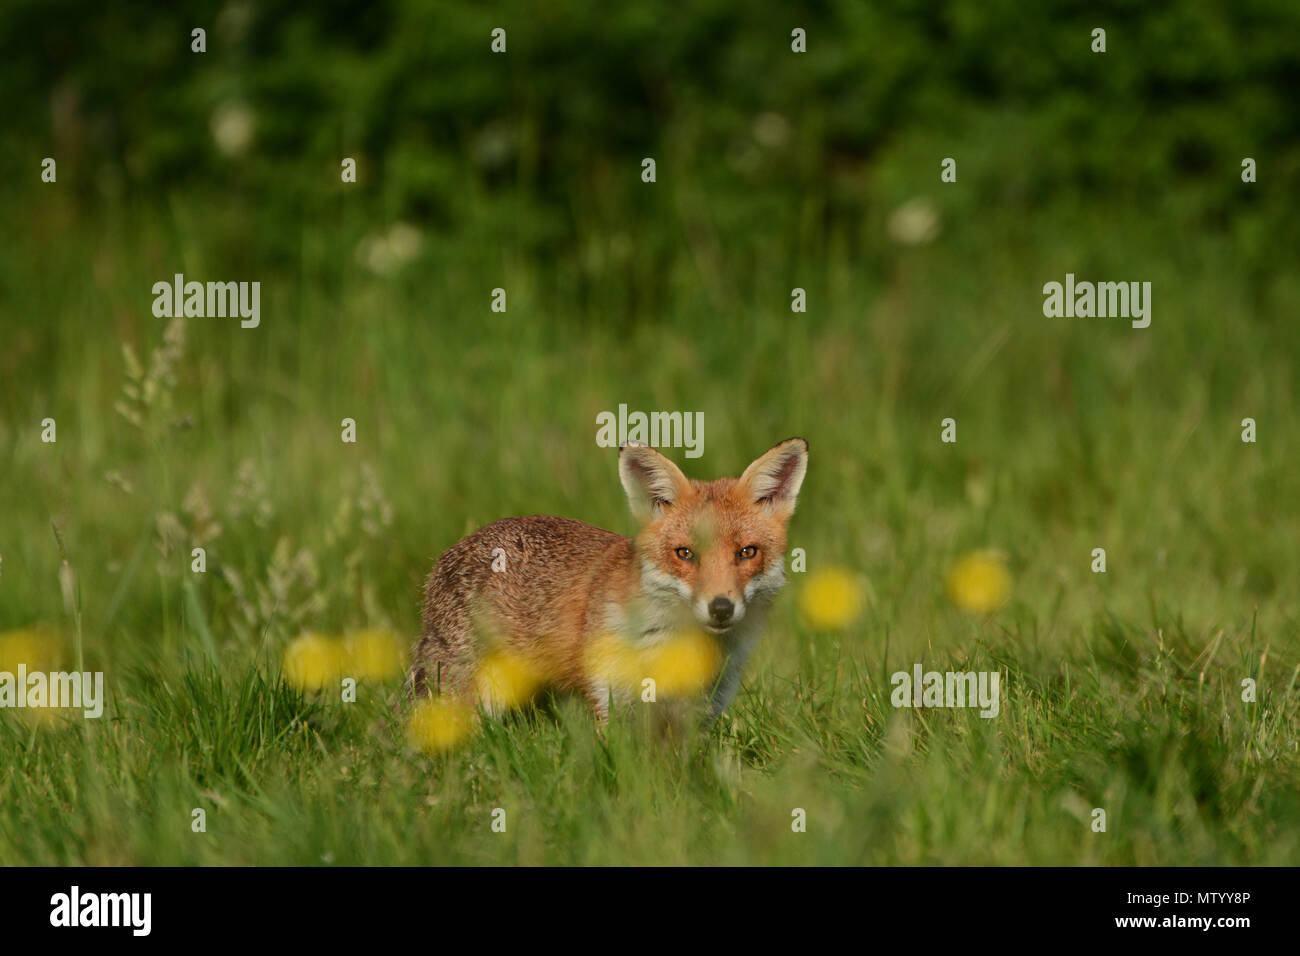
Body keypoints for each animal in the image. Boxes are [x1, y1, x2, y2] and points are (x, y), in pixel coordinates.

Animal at [407, 437, 808, 722]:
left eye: (747, 552)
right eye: (685, 554)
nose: (721, 608)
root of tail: (450, 552)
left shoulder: (701, 713)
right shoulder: (612, 701)